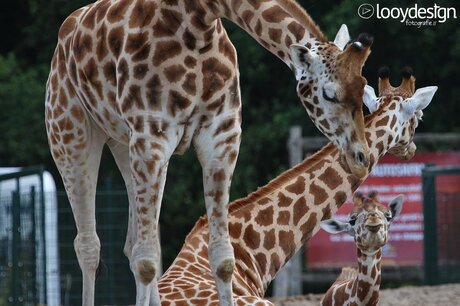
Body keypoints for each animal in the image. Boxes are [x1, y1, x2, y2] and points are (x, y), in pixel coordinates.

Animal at [44, 1, 374, 304]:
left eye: (366, 89)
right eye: (329, 94)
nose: (362, 157)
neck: (197, 20)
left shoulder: (221, 136)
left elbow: (222, 256)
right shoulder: (152, 136)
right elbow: (146, 260)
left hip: (124, 145)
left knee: (132, 242)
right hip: (70, 132)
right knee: (90, 245)